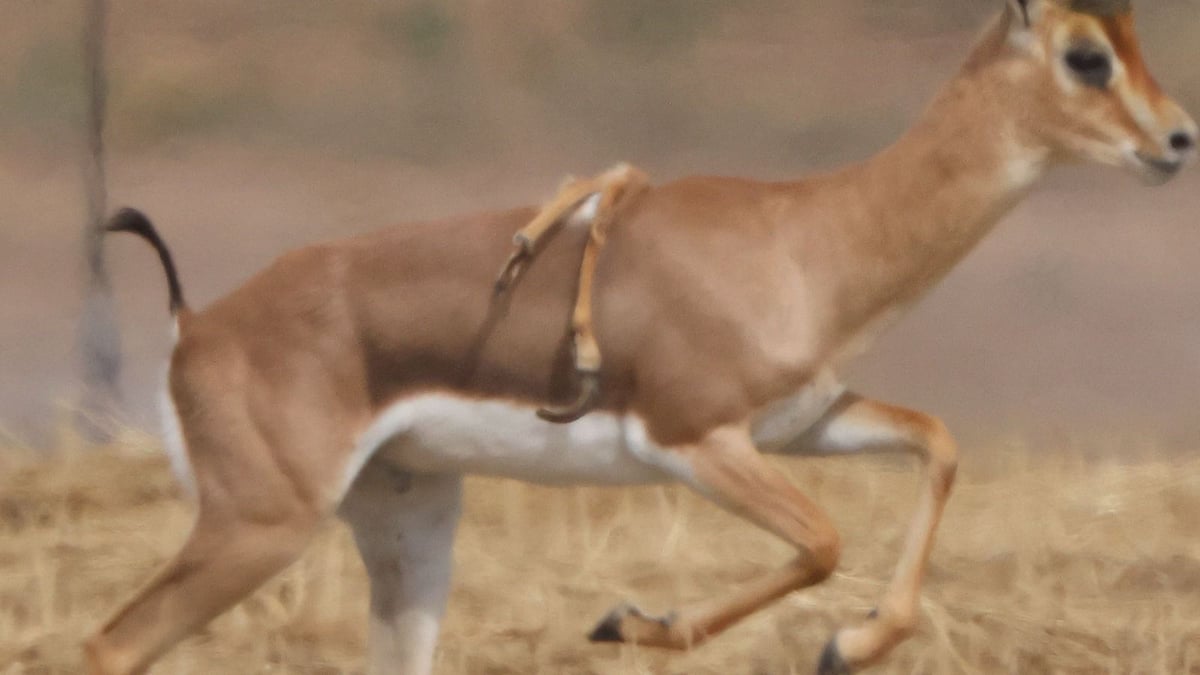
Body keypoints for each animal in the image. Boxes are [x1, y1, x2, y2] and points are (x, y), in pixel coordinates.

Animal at [91, 1, 1190, 672]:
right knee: (114, 643)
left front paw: (851, 643)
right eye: (1086, 54)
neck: (808, 235)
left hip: (407, 521)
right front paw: (632, 620)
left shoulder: (803, 423)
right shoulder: (693, 440)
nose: (1177, 139)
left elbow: (939, 443)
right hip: (258, 525)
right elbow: (825, 540)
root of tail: (196, 324)